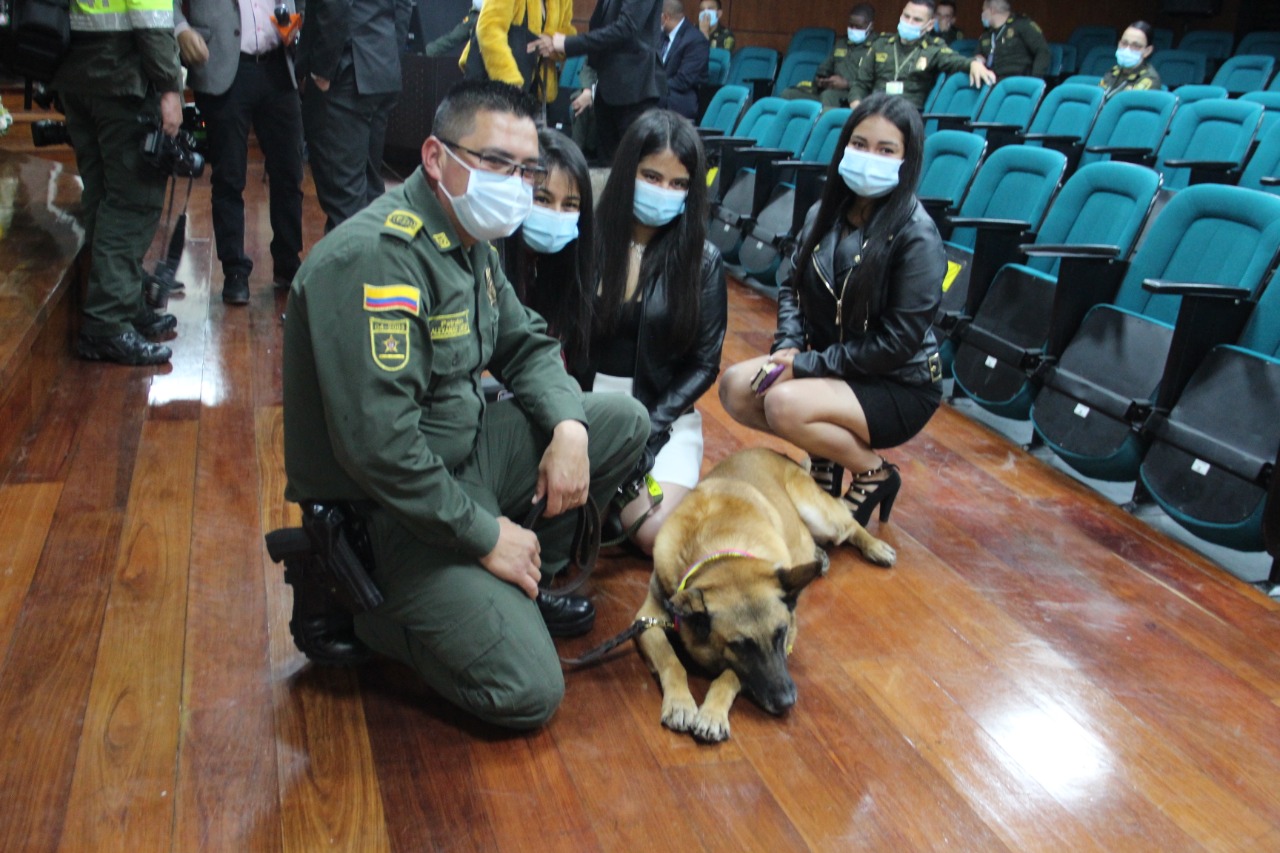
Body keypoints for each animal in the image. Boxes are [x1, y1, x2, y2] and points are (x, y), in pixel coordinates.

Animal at [634, 445, 896, 737]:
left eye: (781, 634)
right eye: (740, 646)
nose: (787, 702)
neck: (721, 557)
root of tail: (779, 454)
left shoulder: (790, 630)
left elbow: (730, 675)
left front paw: (713, 712)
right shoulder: (646, 620)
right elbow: (671, 661)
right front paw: (680, 702)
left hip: (822, 516)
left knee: (848, 523)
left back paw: (874, 546)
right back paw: (820, 555)